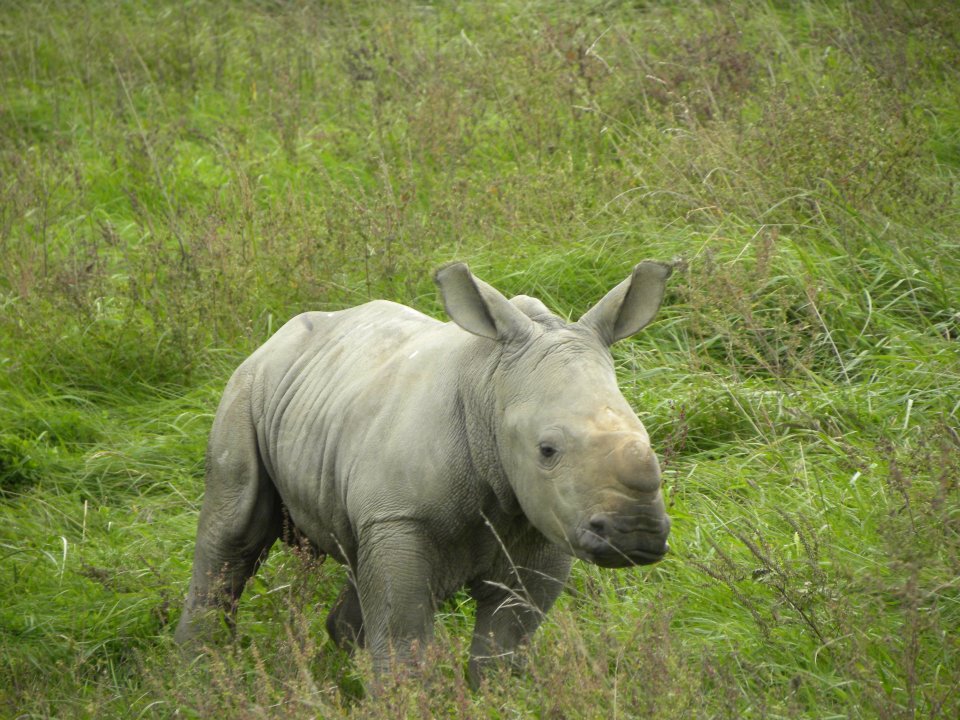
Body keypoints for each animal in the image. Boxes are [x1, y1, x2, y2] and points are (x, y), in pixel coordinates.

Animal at [175, 261, 673, 686]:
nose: (637, 532)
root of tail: (273, 339)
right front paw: (405, 699)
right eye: (547, 450)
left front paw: (498, 699)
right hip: (244, 392)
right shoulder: (400, 517)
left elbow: (503, 645)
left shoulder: (542, 523)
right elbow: (403, 637)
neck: (490, 388)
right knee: (232, 533)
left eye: (647, 438)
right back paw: (201, 674)